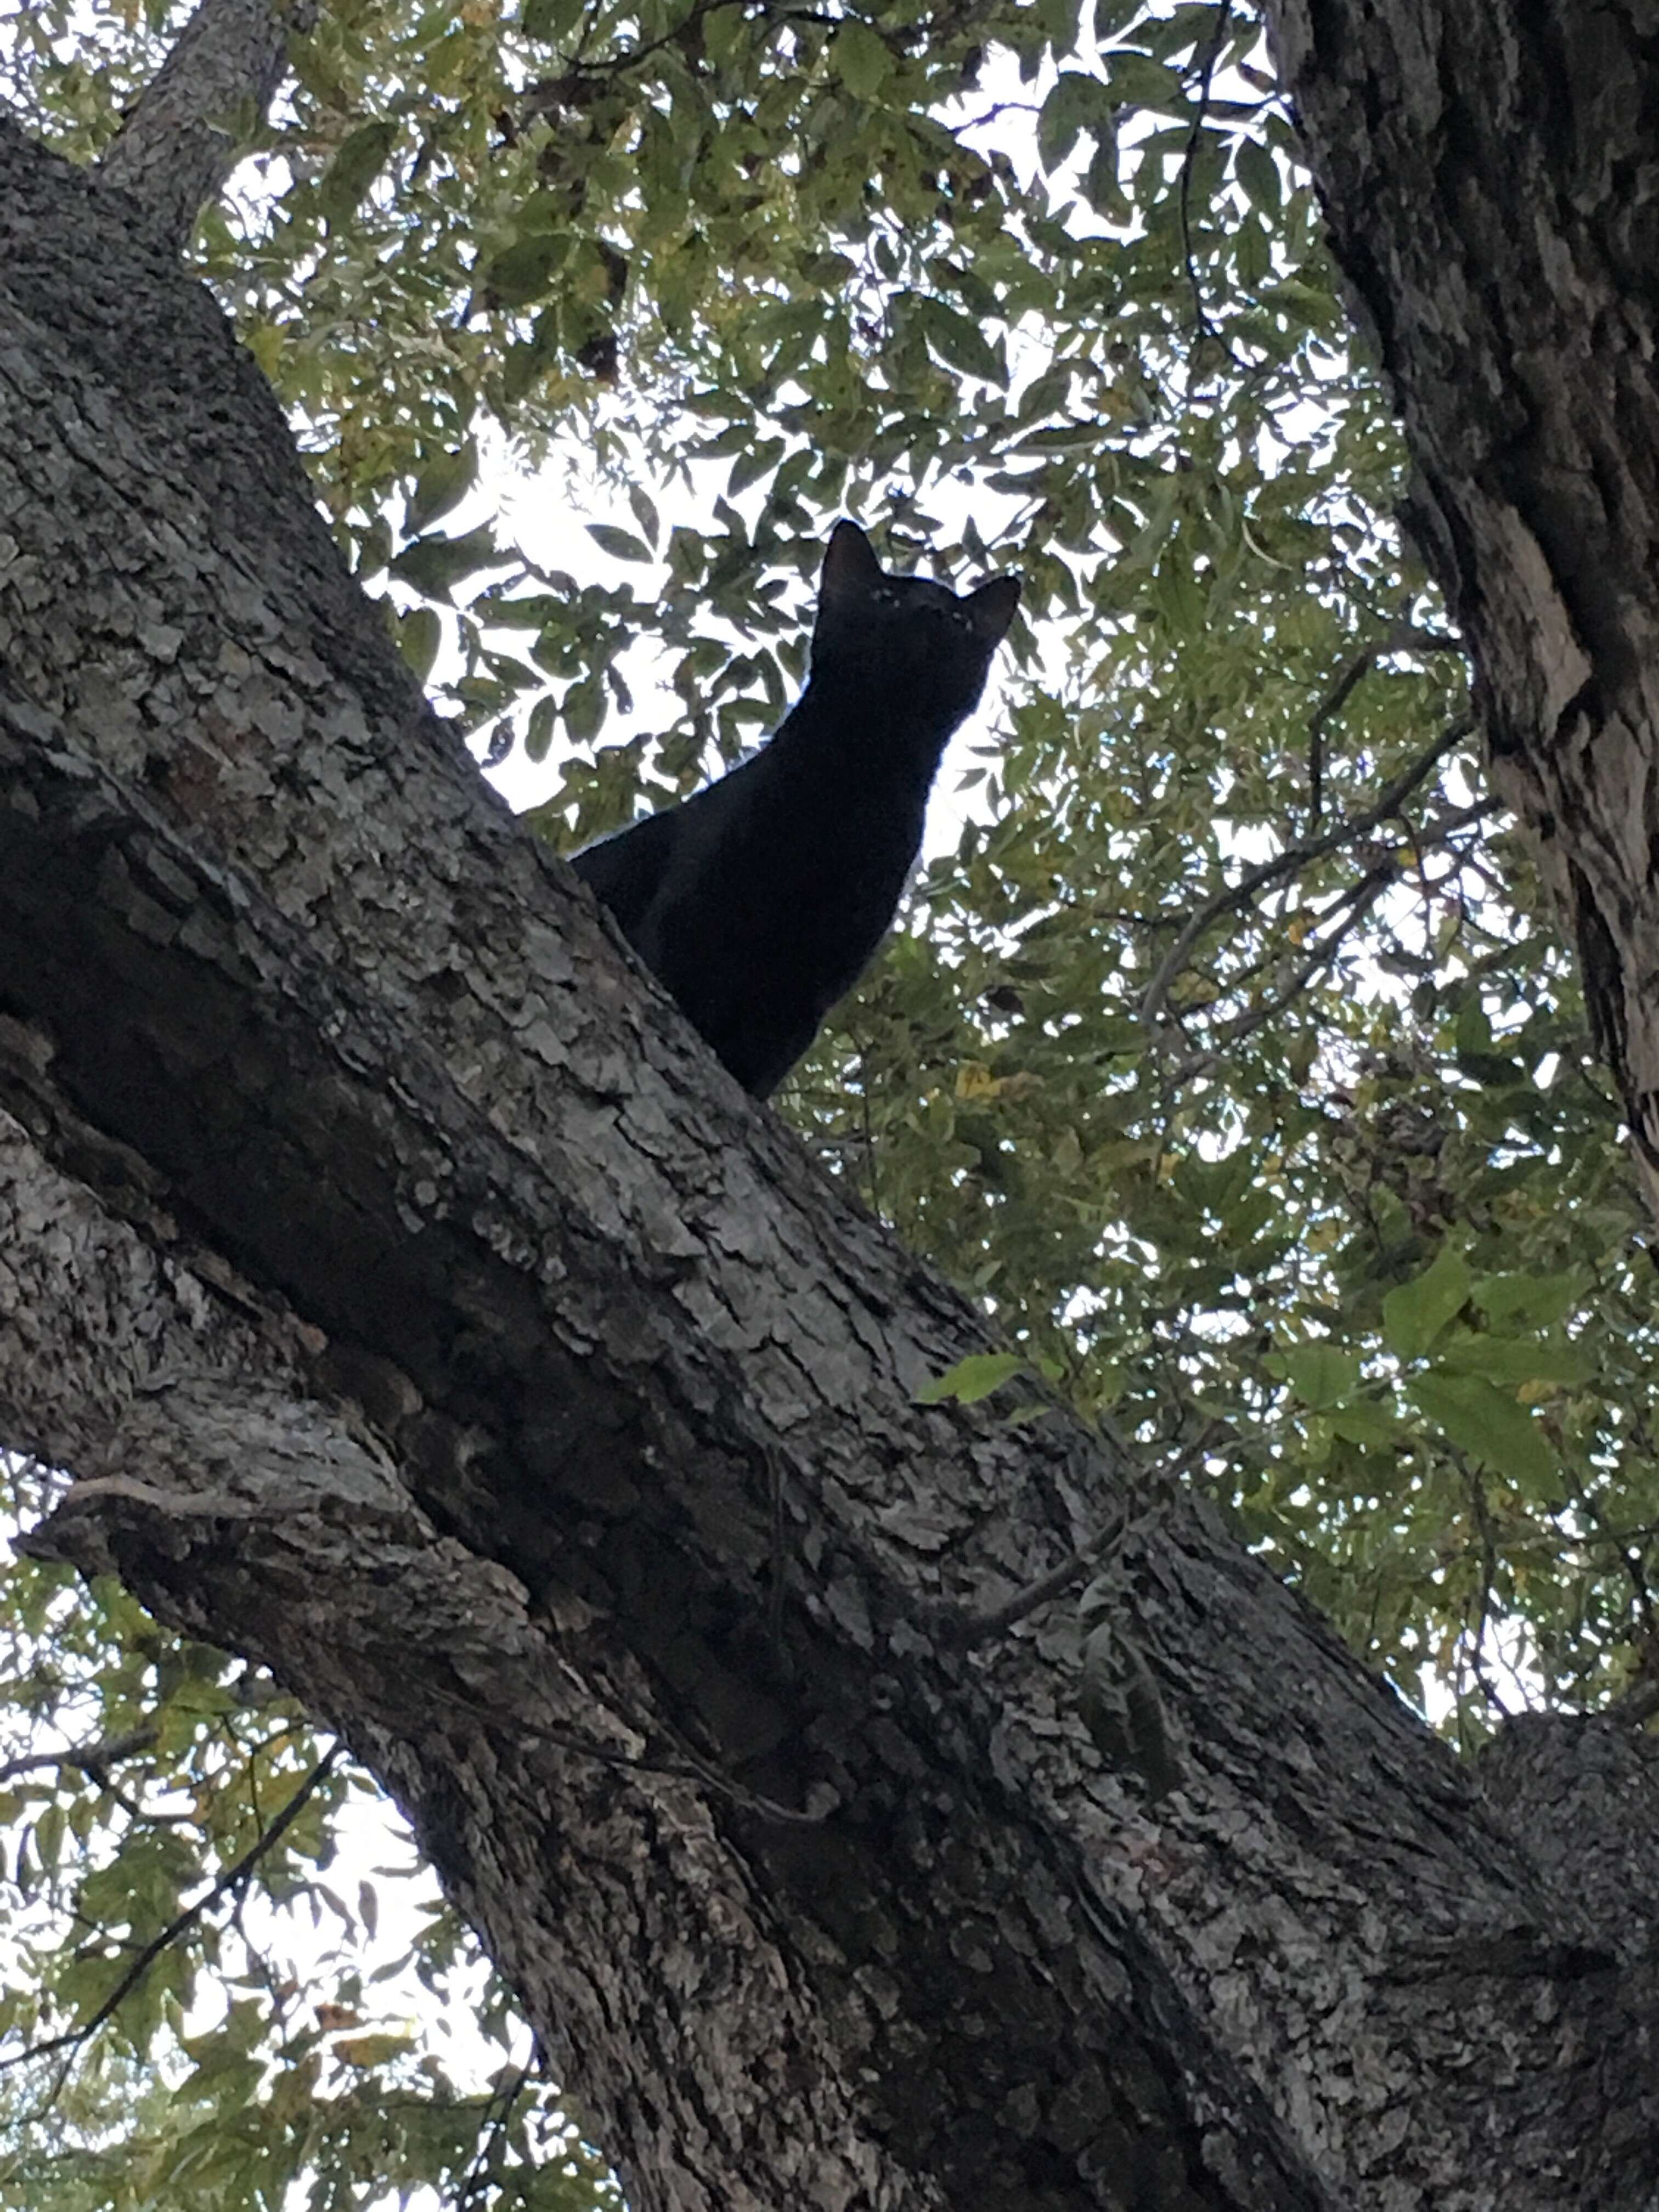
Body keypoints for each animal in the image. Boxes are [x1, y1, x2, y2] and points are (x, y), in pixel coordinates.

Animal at [571, 526, 1022, 1097]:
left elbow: (754, 1071)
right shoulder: (685, 919)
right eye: (887, 598)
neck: (855, 787)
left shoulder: (802, 996)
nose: (931, 613)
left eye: (961, 621)